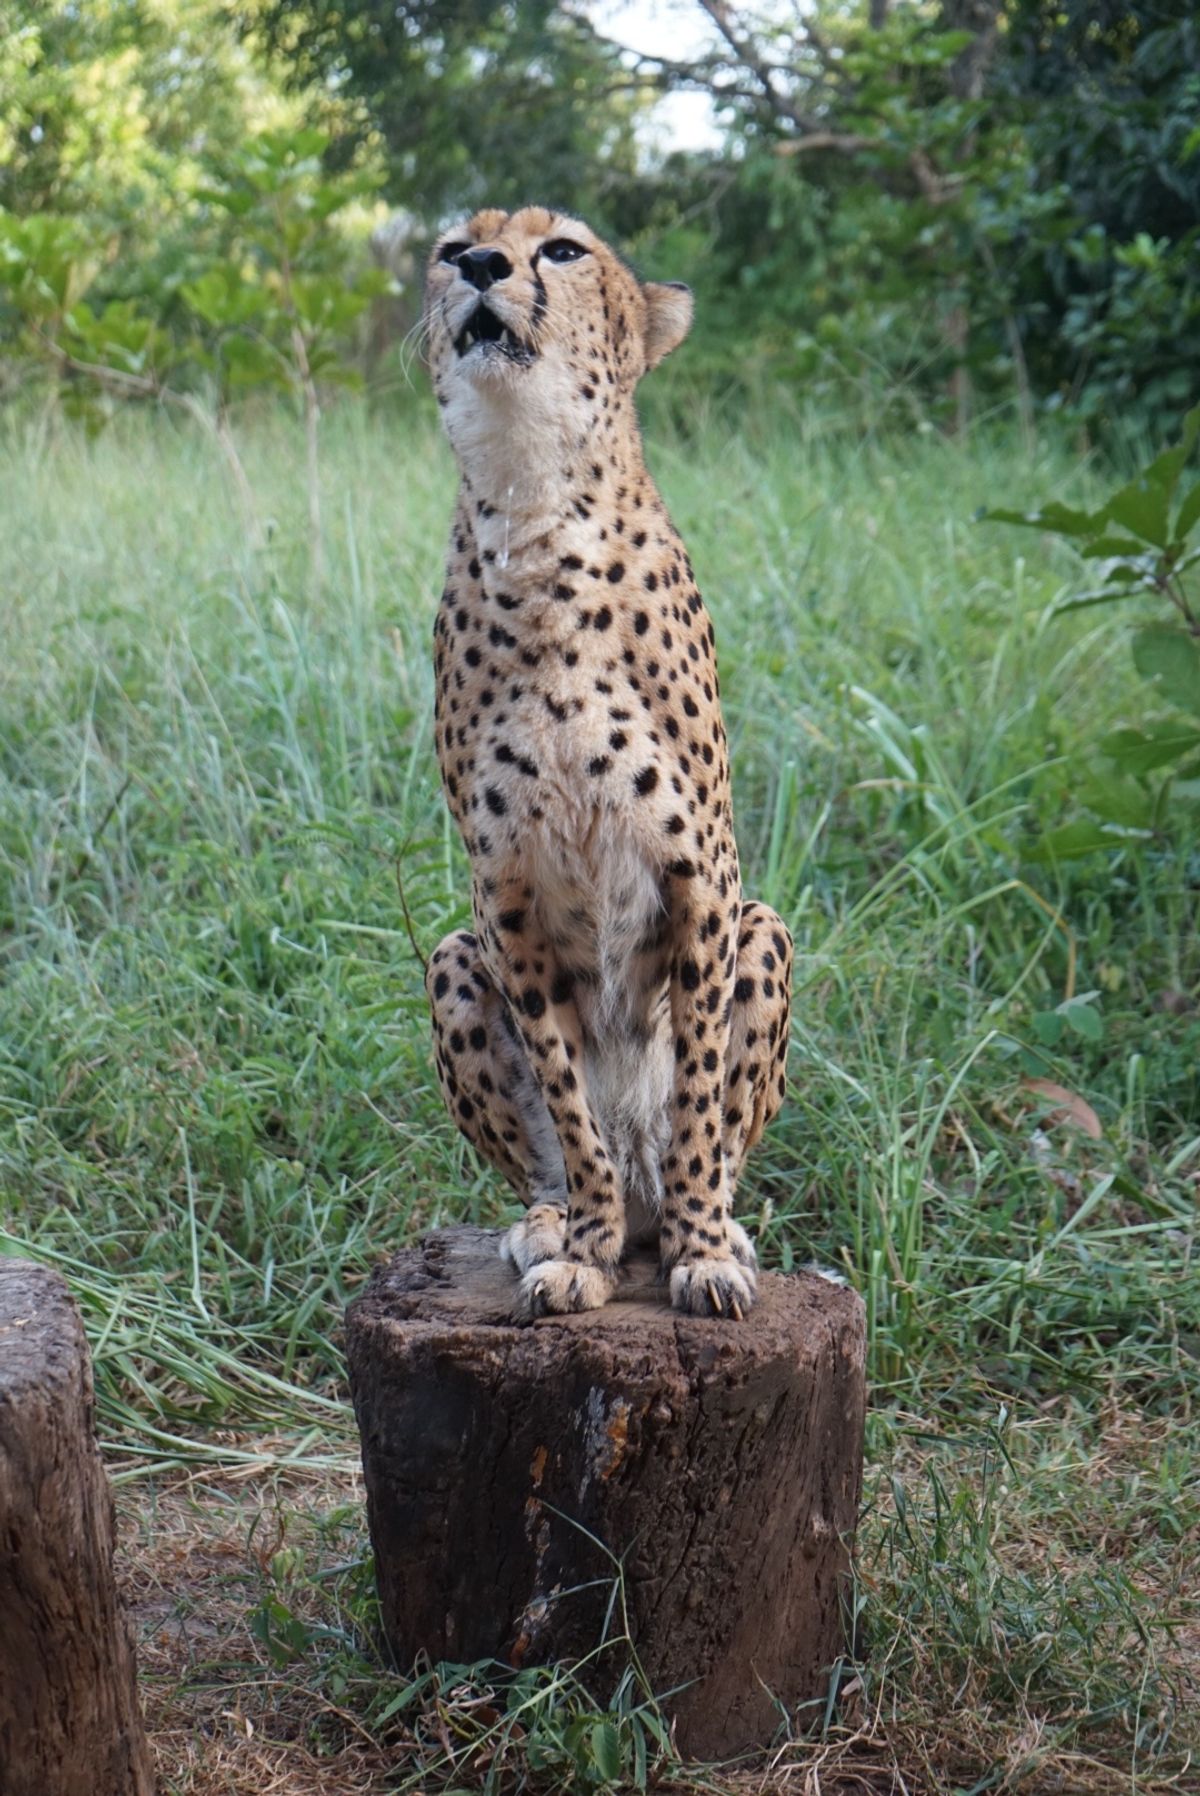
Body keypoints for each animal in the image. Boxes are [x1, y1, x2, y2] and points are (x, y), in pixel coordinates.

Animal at [422, 206, 793, 1322]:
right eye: (451, 245)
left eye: (563, 250)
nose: (480, 265)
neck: (533, 504)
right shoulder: (502, 900)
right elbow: (565, 1092)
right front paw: (584, 1250)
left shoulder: (705, 882)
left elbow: (703, 1092)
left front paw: (703, 1251)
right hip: (453, 958)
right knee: (568, 1158)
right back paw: (560, 1222)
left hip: (766, 927)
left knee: (696, 1149)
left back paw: (698, 1220)